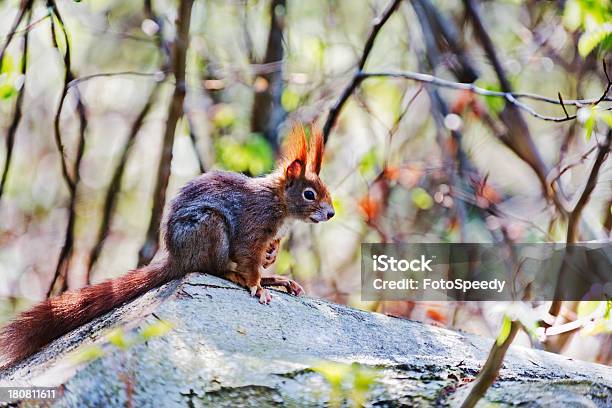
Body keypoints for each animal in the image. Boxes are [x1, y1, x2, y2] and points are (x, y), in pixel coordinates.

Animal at [0, 124, 334, 366]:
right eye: (309, 194)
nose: (331, 213)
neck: (280, 204)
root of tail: (177, 257)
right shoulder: (252, 228)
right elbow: (248, 260)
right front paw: (257, 287)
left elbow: (265, 254)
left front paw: (271, 260)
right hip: (210, 228)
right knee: (214, 268)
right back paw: (240, 277)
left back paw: (277, 278)